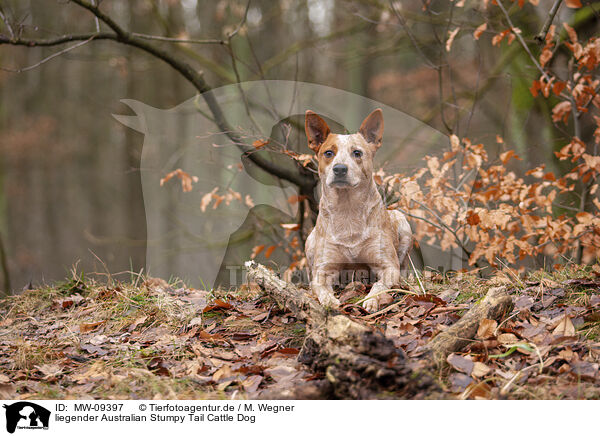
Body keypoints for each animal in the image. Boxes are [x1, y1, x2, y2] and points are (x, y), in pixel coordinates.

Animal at [304, 109, 412, 314]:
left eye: (357, 152)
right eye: (328, 153)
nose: (339, 168)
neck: (347, 210)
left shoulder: (388, 266)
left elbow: (380, 284)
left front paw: (371, 300)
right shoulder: (323, 269)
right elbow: (321, 287)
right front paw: (330, 301)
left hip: (402, 222)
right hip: (310, 240)